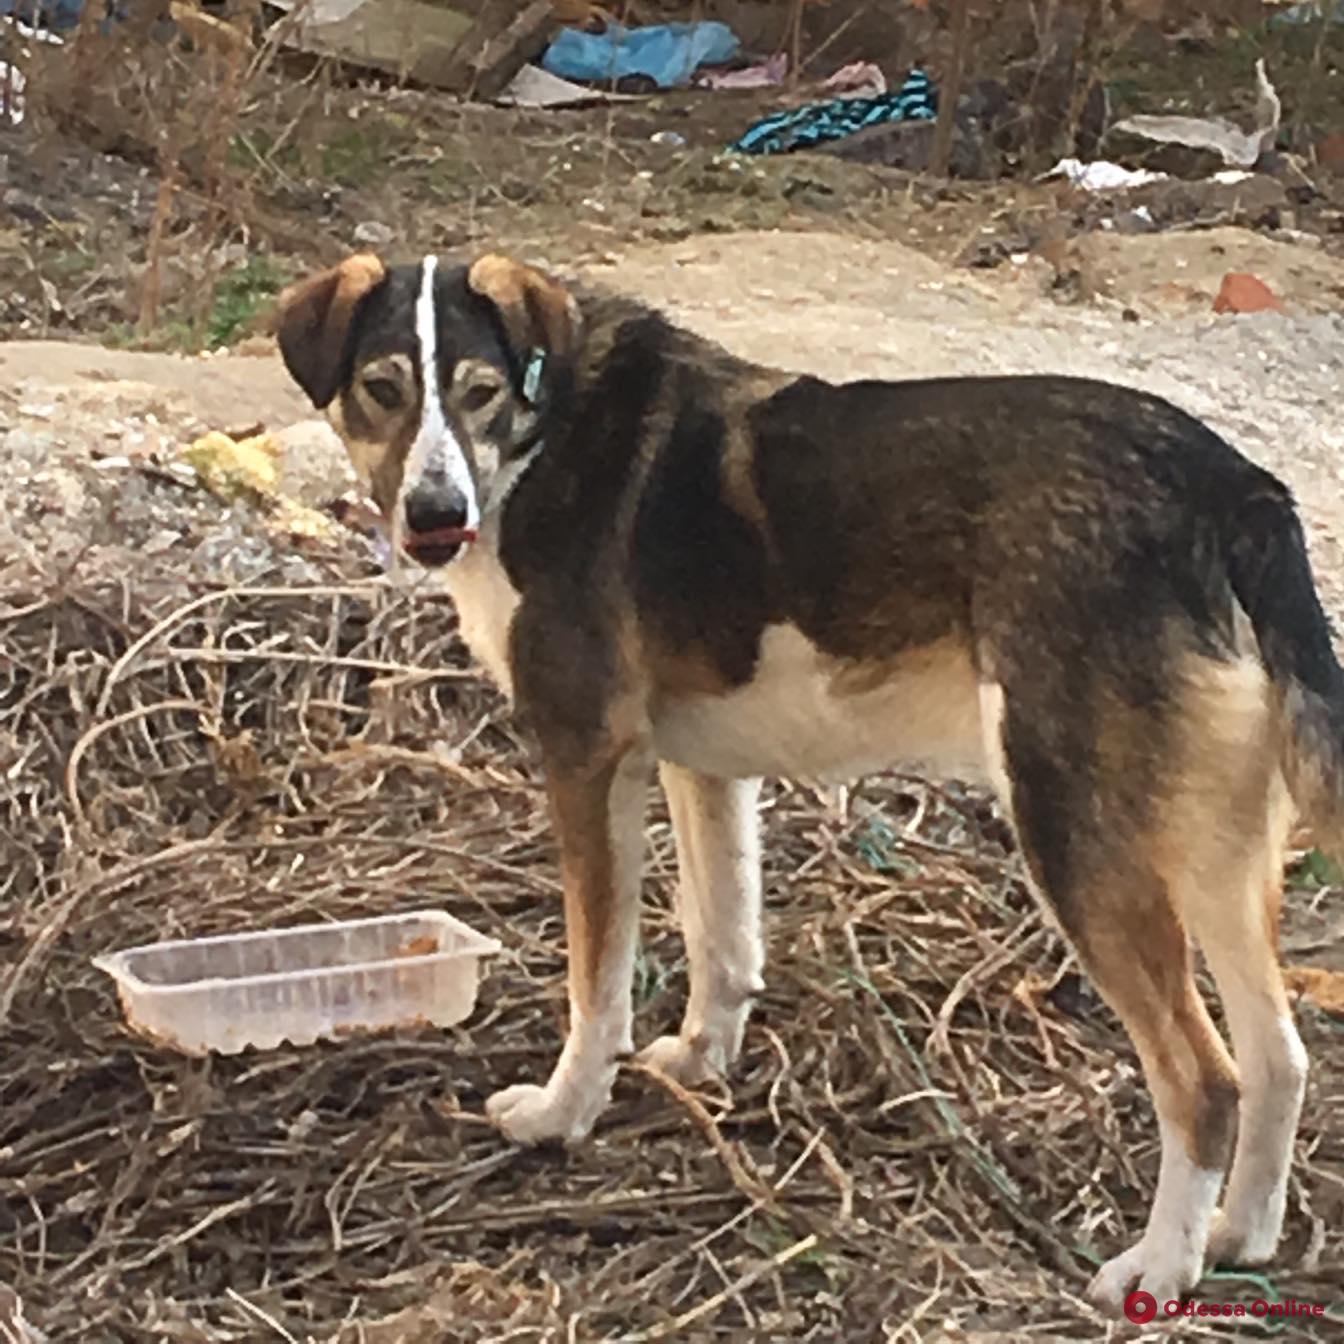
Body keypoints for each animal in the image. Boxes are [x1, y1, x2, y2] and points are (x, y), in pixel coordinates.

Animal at [272, 249, 1344, 1311]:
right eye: (383, 390)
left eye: (479, 392)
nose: (434, 513)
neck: (548, 430)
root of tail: (1233, 489)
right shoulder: (700, 768)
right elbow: (721, 938)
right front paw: (701, 1064)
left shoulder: (587, 760)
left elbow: (596, 983)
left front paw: (562, 1113)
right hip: (1210, 858)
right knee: (1280, 1056)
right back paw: (1238, 1234)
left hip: (1075, 836)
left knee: (1205, 1082)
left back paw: (1158, 1269)